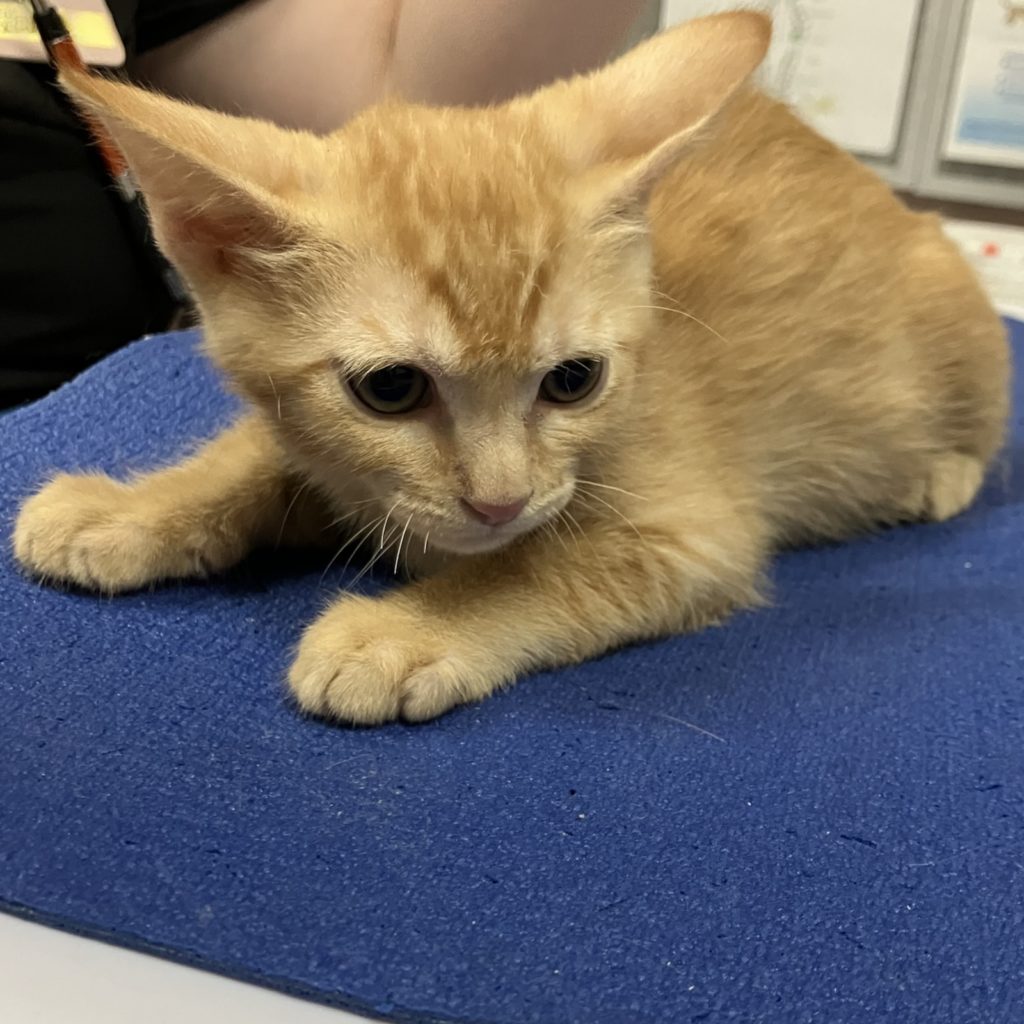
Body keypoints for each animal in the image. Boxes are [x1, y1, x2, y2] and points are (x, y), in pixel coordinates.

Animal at [13, 12, 1009, 725]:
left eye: (574, 380)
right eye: (390, 389)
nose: (500, 502)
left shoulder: (696, 533)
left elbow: (538, 570)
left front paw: (407, 631)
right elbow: (261, 454)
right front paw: (137, 509)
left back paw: (937, 474)